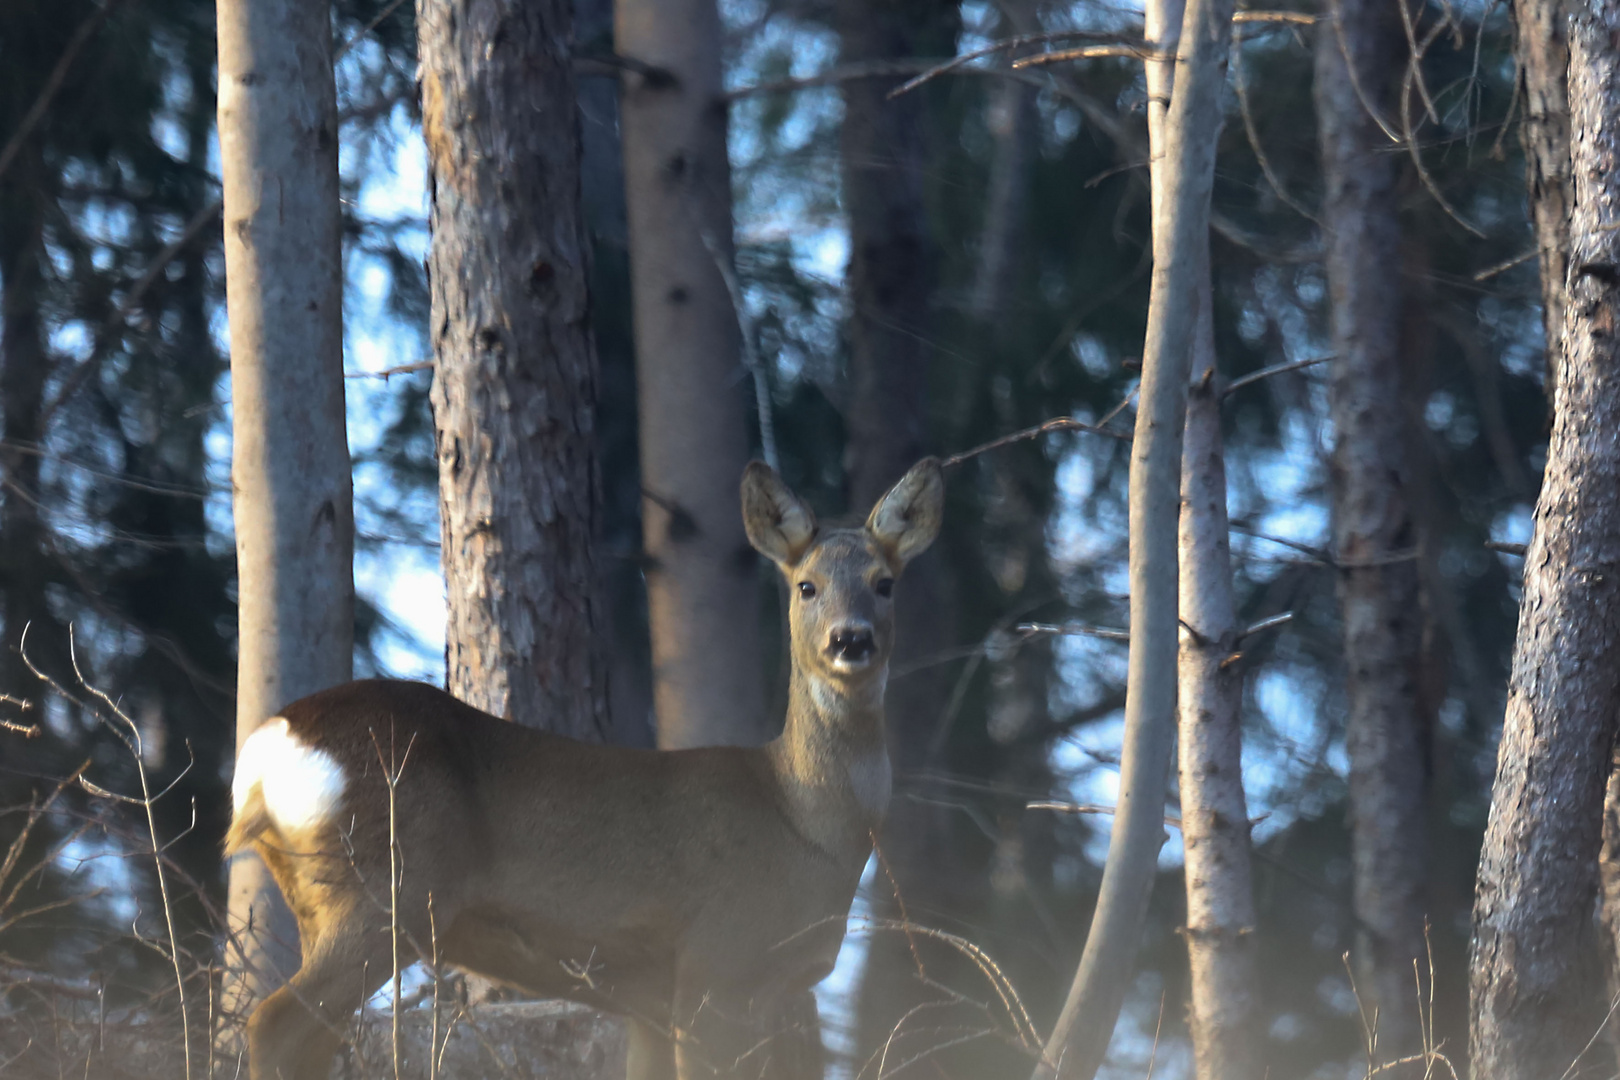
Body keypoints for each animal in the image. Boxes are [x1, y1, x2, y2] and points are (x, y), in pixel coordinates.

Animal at [221, 459, 946, 1080]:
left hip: (323, 898)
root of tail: (269, 747)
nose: (851, 639)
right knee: (275, 1022)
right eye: (806, 586)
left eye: (884, 583)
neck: (802, 822)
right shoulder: (714, 963)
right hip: (388, 886)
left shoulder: (652, 996)